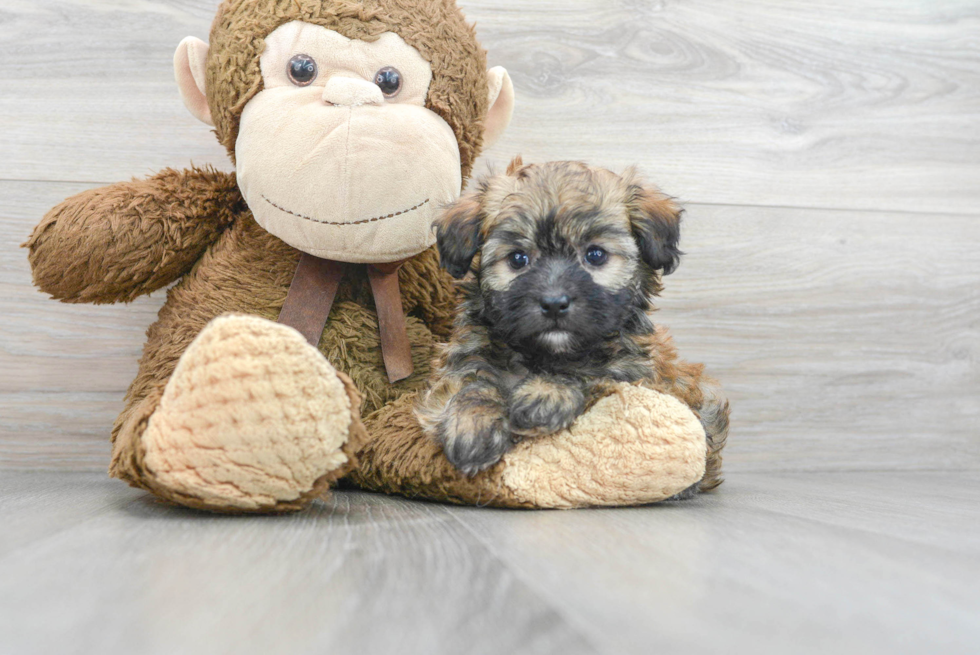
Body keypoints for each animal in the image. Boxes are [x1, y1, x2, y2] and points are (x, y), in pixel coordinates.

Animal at [416, 155, 728, 492]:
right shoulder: (462, 359)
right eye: (517, 259)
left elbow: (591, 375)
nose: (554, 303)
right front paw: (473, 425)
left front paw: (547, 393)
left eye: (595, 255)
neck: (543, 355)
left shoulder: (636, 376)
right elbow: (471, 383)